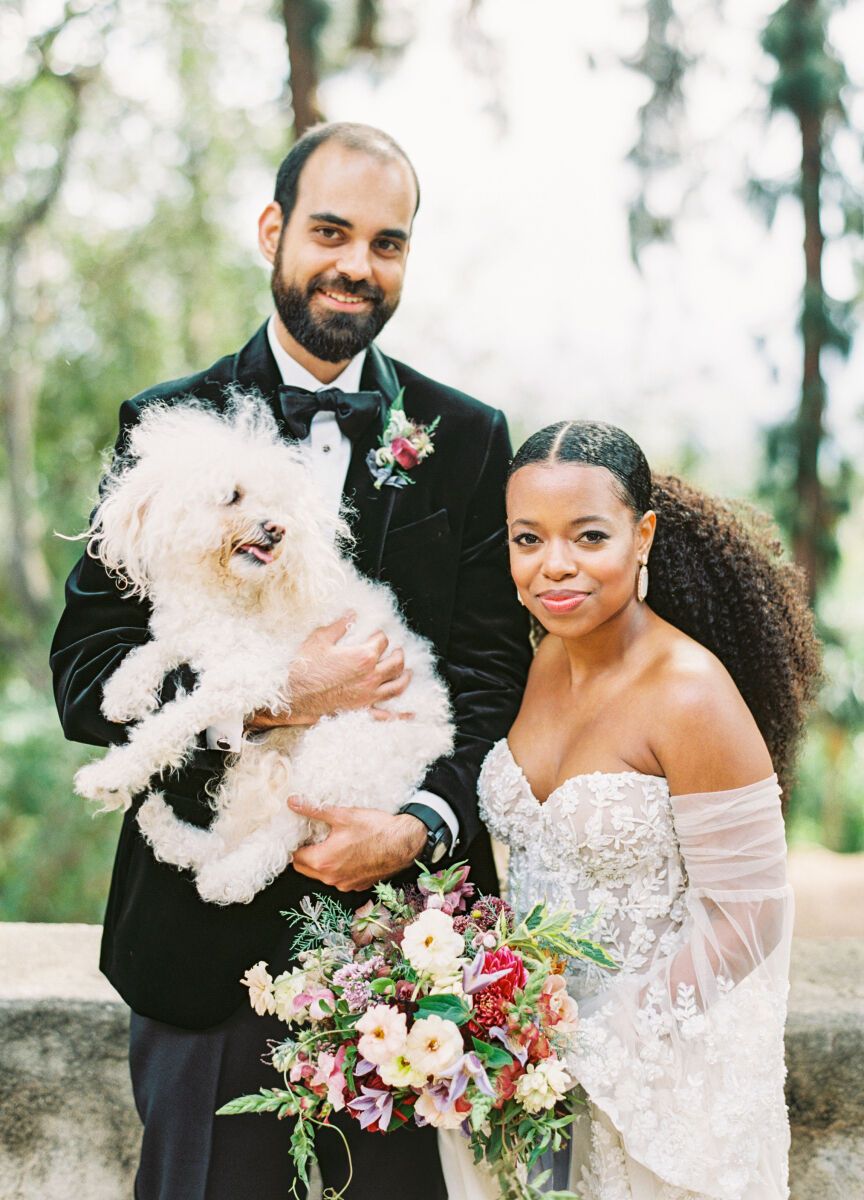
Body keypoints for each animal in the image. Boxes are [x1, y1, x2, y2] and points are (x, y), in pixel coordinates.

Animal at [73, 398, 451, 902]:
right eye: (233, 495)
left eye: (279, 504)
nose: (277, 528)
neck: (229, 588)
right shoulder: (193, 630)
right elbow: (158, 647)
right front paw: (125, 691)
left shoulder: (248, 672)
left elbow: (170, 723)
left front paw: (112, 774)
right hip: (260, 761)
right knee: (233, 834)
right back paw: (166, 828)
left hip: (343, 745)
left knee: (293, 828)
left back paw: (229, 876)